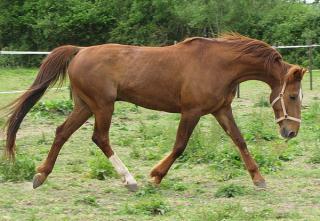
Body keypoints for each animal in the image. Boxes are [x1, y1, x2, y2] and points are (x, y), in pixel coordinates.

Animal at [4, 33, 304, 191]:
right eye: (291, 95)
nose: (291, 132)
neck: (218, 64)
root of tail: (80, 51)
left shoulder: (221, 109)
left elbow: (239, 141)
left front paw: (259, 178)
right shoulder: (191, 111)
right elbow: (180, 145)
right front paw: (155, 175)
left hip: (85, 105)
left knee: (61, 132)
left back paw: (40, 176)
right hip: (102, 105)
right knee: (100, 138)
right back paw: (130, 180)